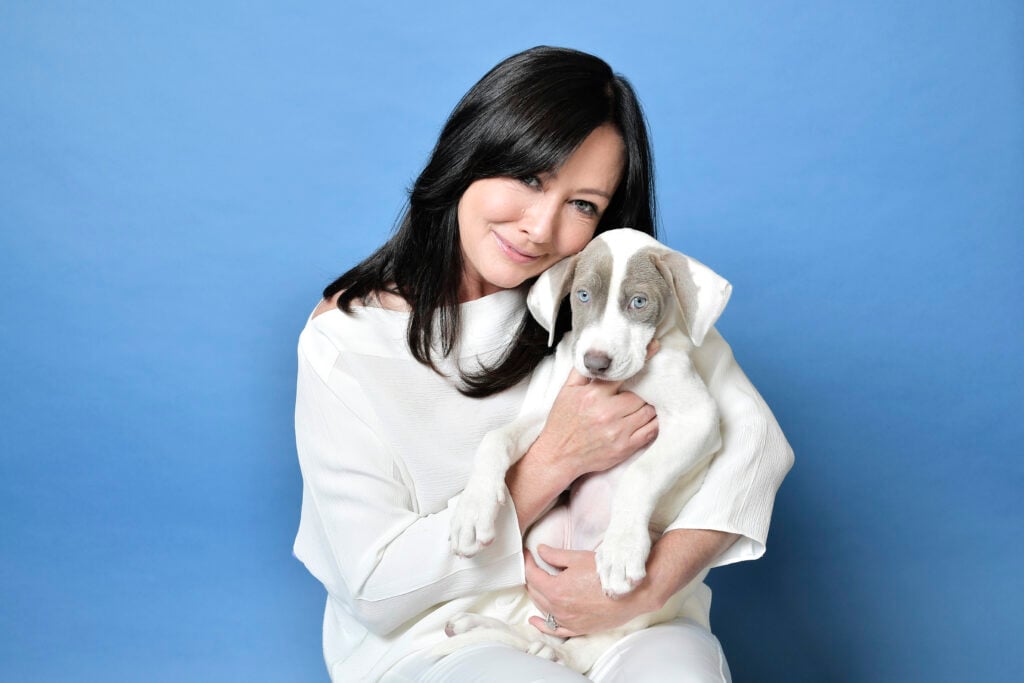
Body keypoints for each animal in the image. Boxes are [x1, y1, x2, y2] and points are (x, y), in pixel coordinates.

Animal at [444, 229, 733, 671]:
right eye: (581, 296)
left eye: (639, 302)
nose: (596, 363)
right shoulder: (554, 415)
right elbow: (495, 438)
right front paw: (472, 513)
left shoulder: (697, 420)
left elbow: (641, 473)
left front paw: (622, 548)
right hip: (544, 539)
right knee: (544, 625)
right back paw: (487, 627)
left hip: (646, 601)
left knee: (590, 645)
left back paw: (559, 651)